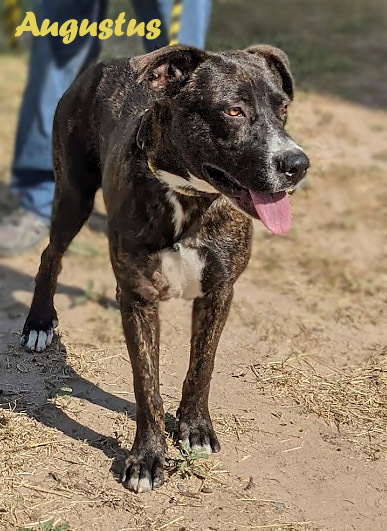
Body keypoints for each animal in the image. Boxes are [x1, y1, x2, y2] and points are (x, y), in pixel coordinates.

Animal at [22, 44, 312, 494]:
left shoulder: (218, 292)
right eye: (233, 111)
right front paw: (147, 458)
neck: (188, 197)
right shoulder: (139, 299)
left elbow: (202, 366)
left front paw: (195, 428)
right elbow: (146, 384)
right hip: (73, 193)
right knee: (51, 256)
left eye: (283, 108)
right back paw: (39, 321)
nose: (298, 164)